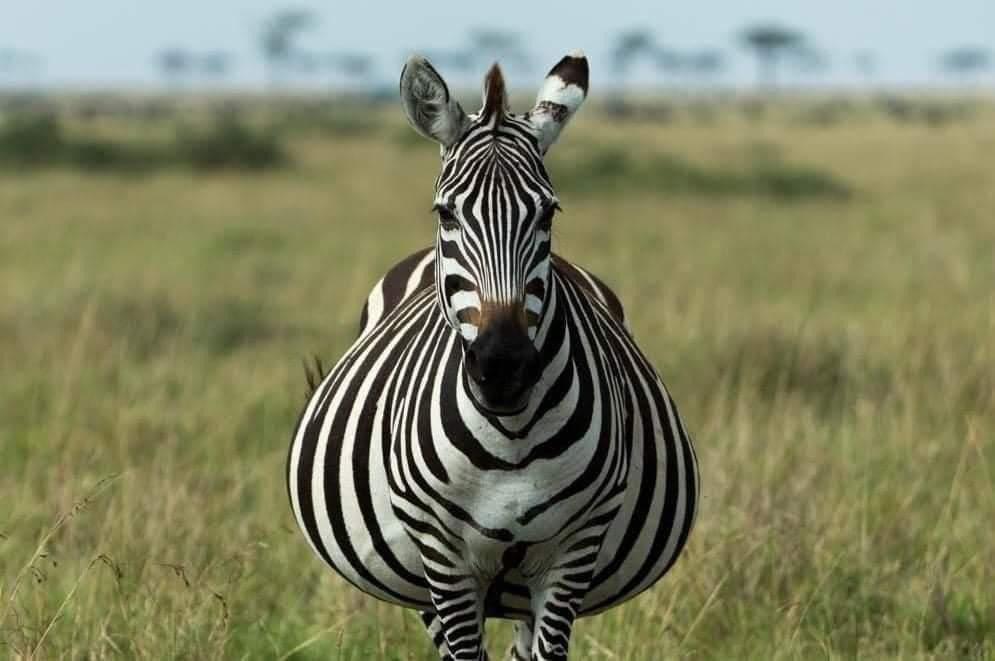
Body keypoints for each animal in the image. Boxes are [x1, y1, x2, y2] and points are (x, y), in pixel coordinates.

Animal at [284, 49, 696, 656]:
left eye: (548, 214)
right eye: (446, 214)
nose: (503, 369)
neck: (511, 438)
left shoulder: (573, 549)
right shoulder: (442, 555)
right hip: (423, 579)